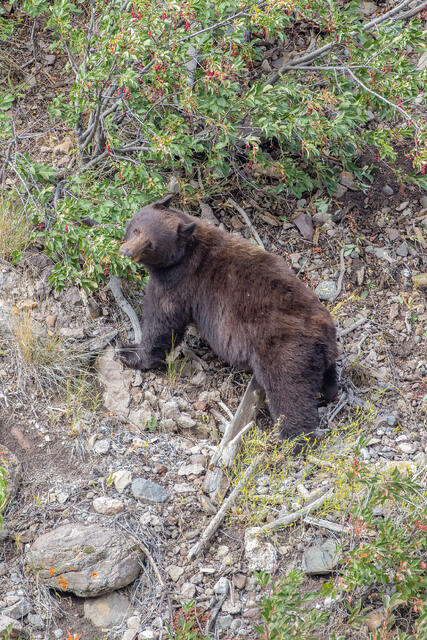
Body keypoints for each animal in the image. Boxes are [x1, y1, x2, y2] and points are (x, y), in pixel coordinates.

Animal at [118, 194, 338, 439]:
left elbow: (162, 324)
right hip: (318, 354)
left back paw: (292, 437)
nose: (126, 252)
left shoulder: (178, 283)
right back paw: (329, 391)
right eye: (136, 229)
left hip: (285, 351)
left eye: (151, 244)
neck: (185, 252)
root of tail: (324, 338)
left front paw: (130, 353)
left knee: (289, 392)